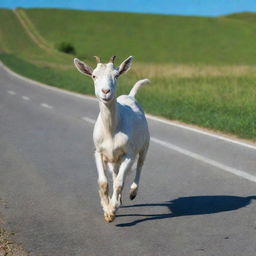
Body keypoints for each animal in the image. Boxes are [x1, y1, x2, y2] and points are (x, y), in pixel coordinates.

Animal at [73, 56, 150, 222]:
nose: (106, 91)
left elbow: (119, 183)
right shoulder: (99, 152)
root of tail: (130, 96)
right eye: (93, 76)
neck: (112, 130)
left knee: (140, 165)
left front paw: (112, 210)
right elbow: (103, 182)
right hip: (113, 160)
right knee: (115, 174)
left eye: (116, 75)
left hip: (144, 145)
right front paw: (107, 208)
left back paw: (132, 192)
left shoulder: (128, 154)